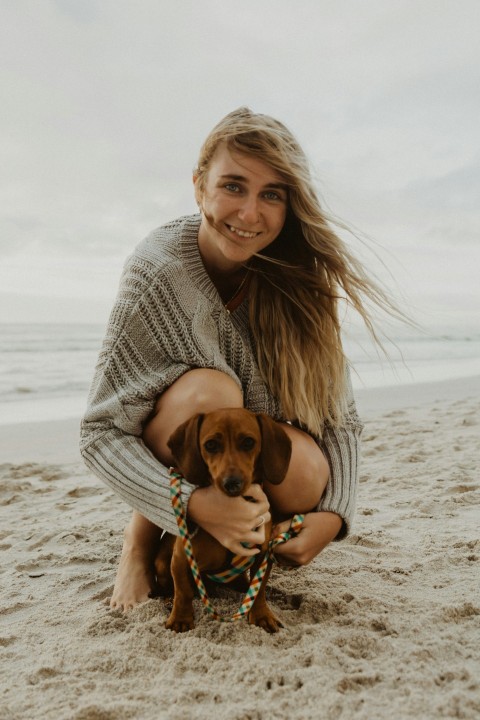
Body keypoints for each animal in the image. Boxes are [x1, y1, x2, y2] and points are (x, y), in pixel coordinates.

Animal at [157, 408, 292, 632]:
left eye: (248, 442)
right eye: (211, 445)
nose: (232, 483)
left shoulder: (263, 556)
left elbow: (258, 591)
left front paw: (261, 614)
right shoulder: (181, 559)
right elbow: (182, 592)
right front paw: (180, 618)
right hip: (161, 563)